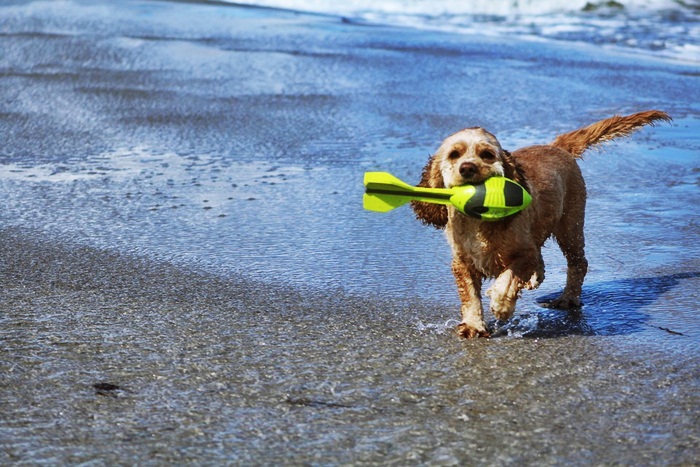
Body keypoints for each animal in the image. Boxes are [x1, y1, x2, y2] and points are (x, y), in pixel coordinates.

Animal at [411, 110, 671, 338]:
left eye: (487, 154)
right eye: (454, 154)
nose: (467, 168)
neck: (479, 221)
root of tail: (556, 146)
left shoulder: (524, 254)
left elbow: (508, 279)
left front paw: (501, 304)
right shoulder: (462, 262)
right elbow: (470, 296)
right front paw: (474, 325)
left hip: (570, 226)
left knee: (578, 263)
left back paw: (567, 298)